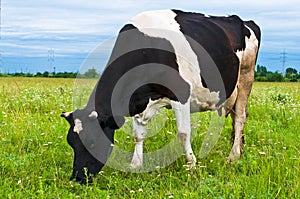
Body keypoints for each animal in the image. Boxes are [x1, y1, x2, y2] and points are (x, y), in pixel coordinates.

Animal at [60, 9, 260, 183]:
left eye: (92, 142)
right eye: (70, 142)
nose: (77, 179)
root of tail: (243, 20)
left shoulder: (180, 93)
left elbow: (183, 133)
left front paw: (191, 165)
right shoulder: (139, 101)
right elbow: (138, 135)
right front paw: (135, 165)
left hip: (246, 77)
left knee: (240, 118)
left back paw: (233, 156)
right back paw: (238, 150)